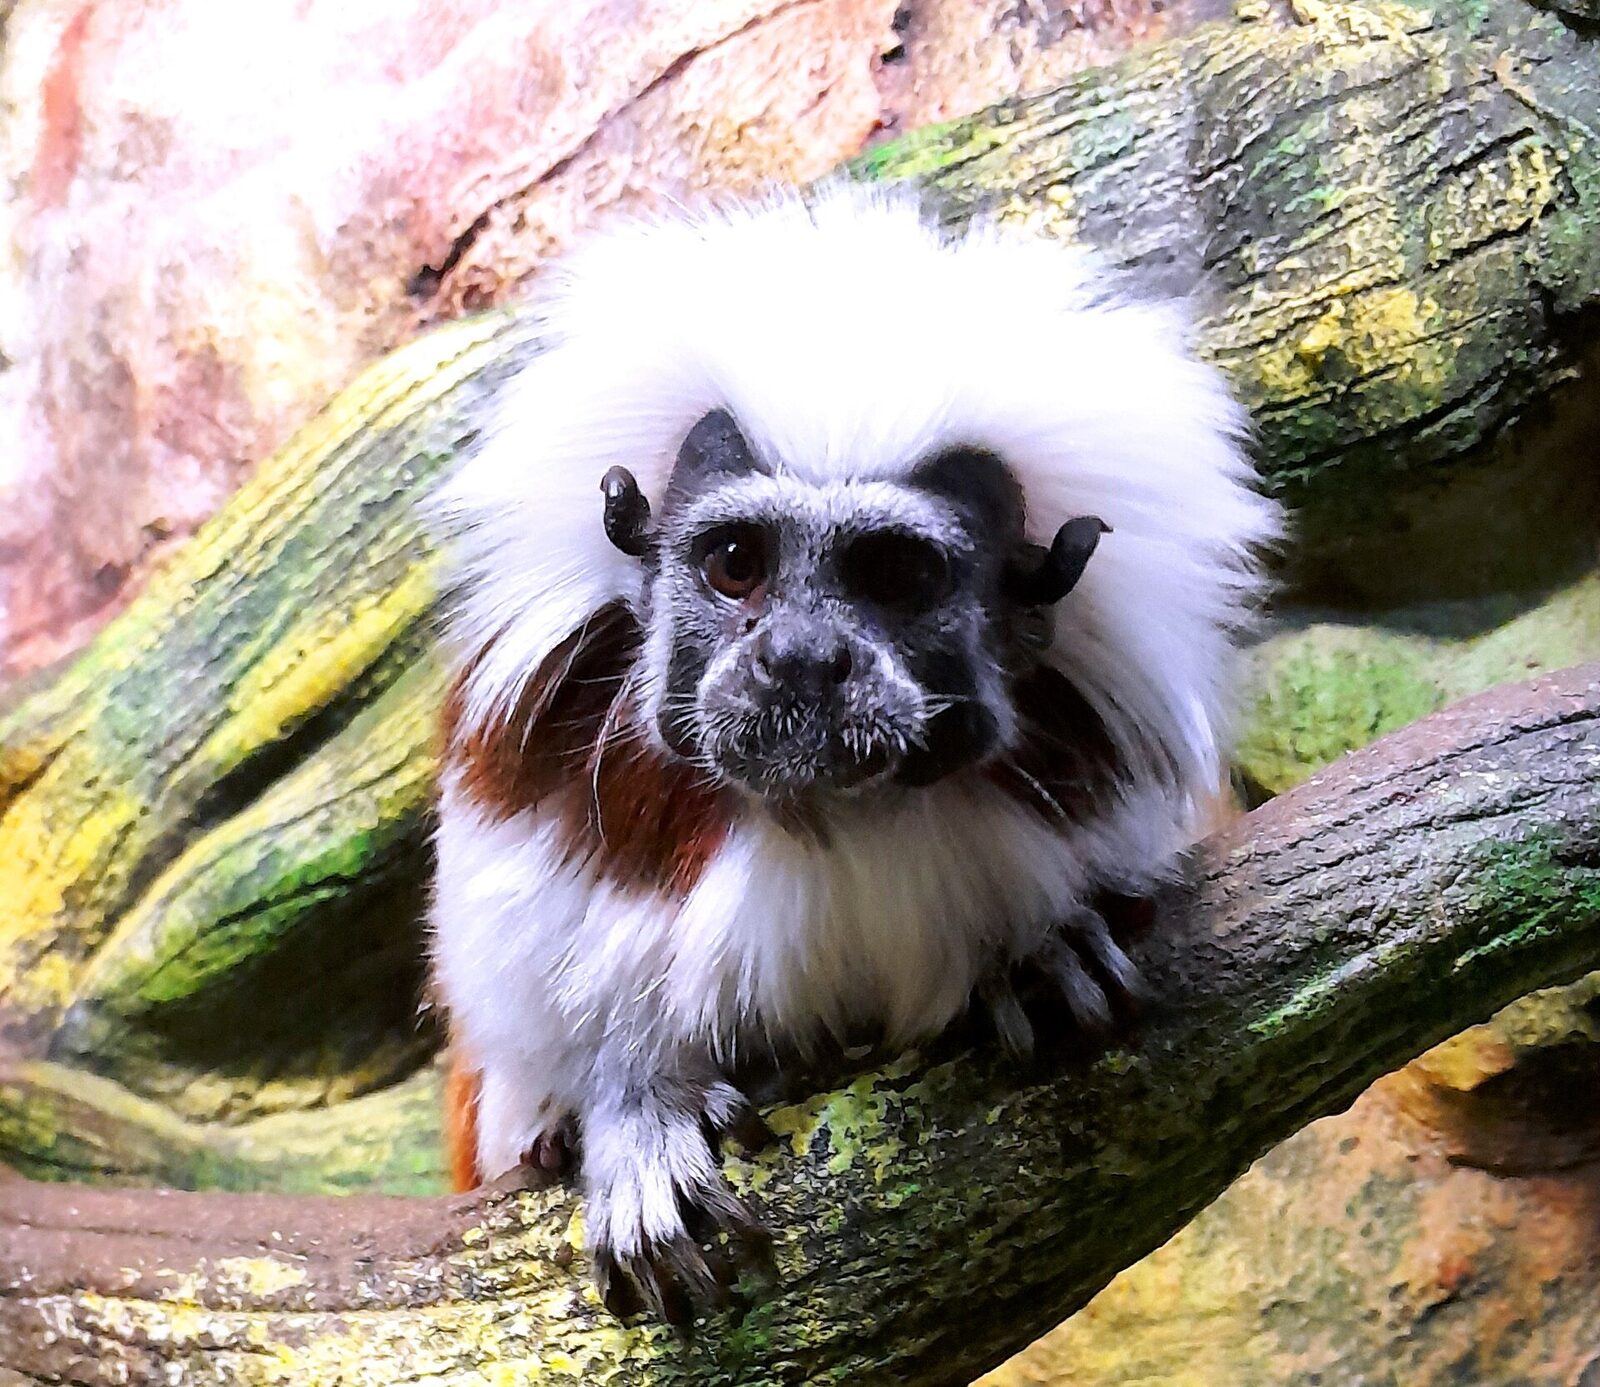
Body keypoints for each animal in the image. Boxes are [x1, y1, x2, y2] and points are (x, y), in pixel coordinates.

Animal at [425, 180, 1280, 1322]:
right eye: (734, 564)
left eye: (896, 577)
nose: (800, 658)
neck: (828, 823)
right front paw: (637, 1101)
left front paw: (1035, 951)